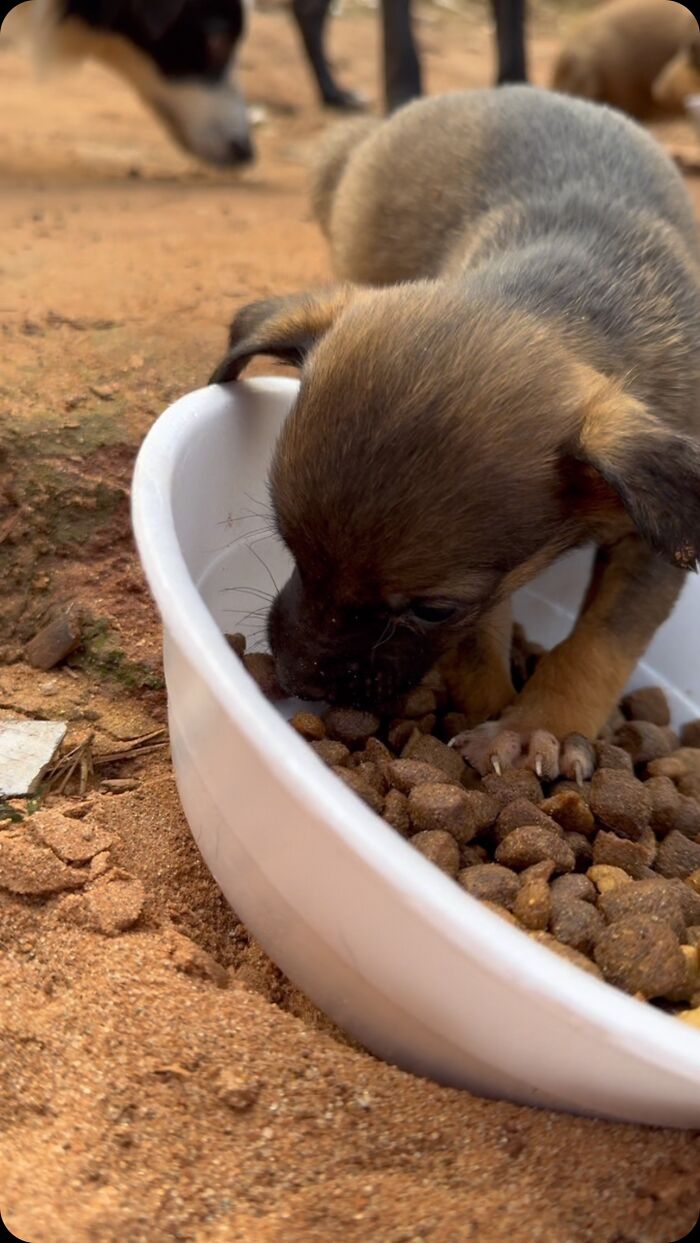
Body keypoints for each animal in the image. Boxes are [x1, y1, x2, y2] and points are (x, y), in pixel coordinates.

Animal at [211, 90, 700, 775]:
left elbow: (598, 644)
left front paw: (538, 724)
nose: (296, 677)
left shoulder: (652, 546)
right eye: (289, 547)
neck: (568, 294)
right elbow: (481, 638)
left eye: (432, 609)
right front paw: (490, 702)